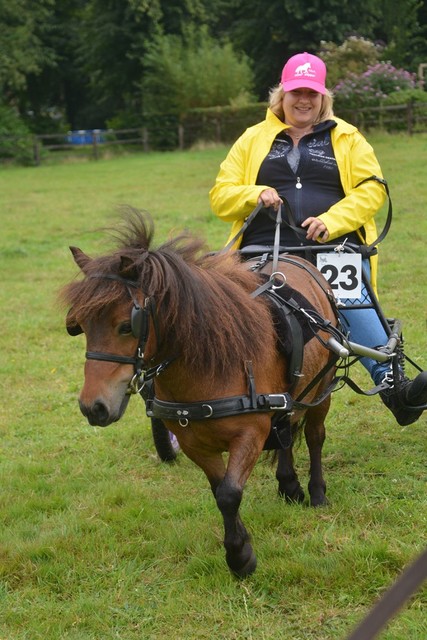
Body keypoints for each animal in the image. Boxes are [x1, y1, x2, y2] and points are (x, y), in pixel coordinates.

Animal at [61, 211, 342, 580]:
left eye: (126, 325)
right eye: (78, 324)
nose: (93, 407)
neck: (209, 362)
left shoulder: (251, 433)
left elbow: (230, 493)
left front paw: (239, 557)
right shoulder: (193, 441)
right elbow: (219, 489)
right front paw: (241, 546)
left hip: (323, 388)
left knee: (314, 436)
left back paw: (316, 491)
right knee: (287, 428)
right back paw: (289, 485)